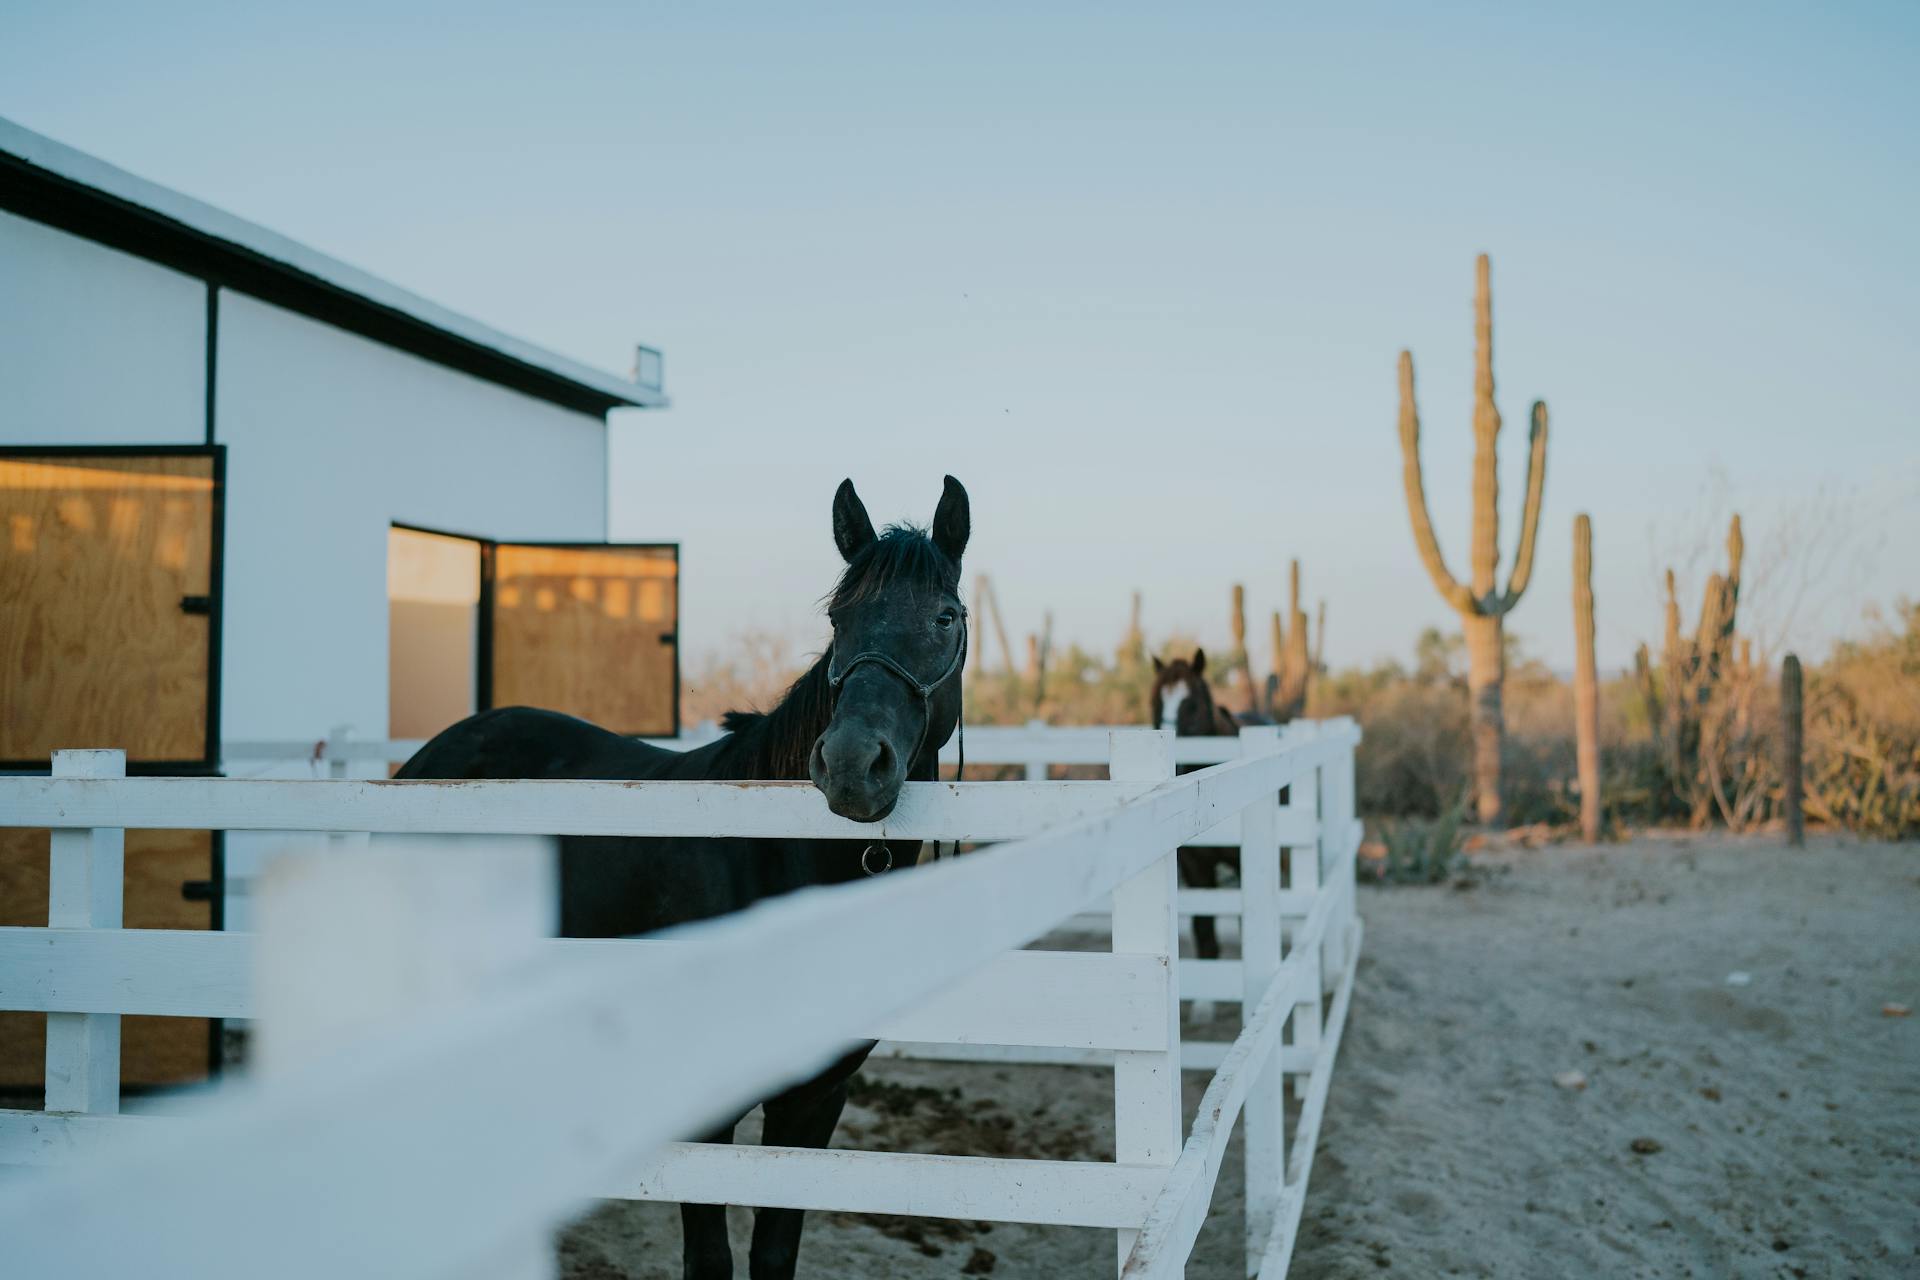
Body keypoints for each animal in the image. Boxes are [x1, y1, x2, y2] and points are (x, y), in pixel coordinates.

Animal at [397, 475, 971, 1280]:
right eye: (838, 618)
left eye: (945, 616)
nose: (853, 764)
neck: (775, 862)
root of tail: (423, 761)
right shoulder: (706, 1107)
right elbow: (710, 1259)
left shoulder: (815, 1100)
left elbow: (774, 1255)